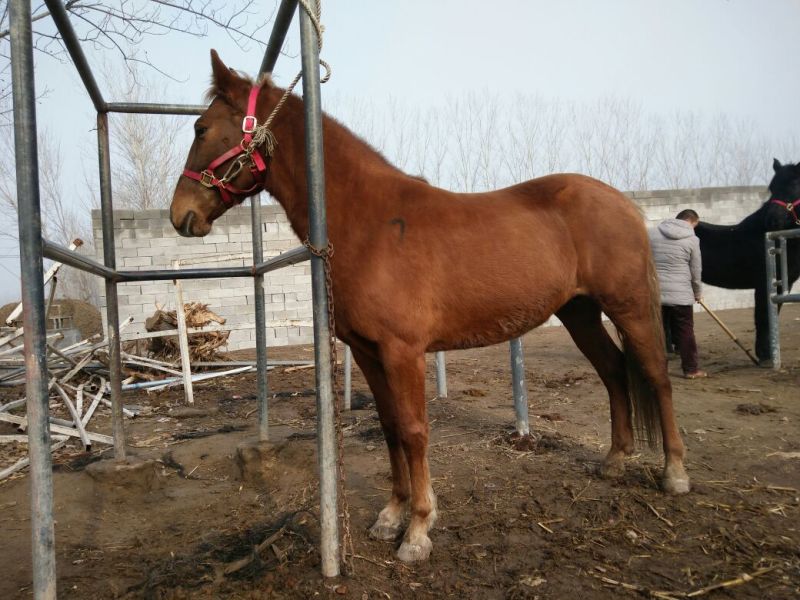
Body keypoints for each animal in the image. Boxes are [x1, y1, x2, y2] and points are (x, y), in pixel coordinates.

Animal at [169, 51, 690, 563]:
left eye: (201, 128)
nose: (180, 216)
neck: (371, 221)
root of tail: (621, 202)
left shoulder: (403, 351)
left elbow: (415, 429)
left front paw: (418, 530)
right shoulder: (368, 351)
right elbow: (389, 427)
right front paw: (391, 515)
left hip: (629, 308)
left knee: (656, 377)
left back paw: (675, 473)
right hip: (579, 312)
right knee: (614, 371)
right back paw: (615, 460)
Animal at [695, 159, 800, 365]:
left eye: (793, 185)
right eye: (772, 188)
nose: (772, 220)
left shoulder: (784, 284)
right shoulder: (764, 284)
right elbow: (763, 316)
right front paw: (765, 356)